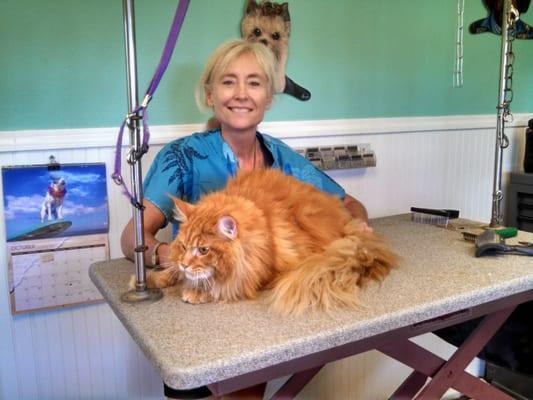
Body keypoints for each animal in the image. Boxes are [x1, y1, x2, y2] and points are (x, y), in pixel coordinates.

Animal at [145, 167, 394, 314]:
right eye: (184, 246)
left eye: (204, 250)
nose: (185, 264)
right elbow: (172, 271)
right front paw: (155, 278)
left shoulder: (266, 271)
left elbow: (223, 285)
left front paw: (197, 291)